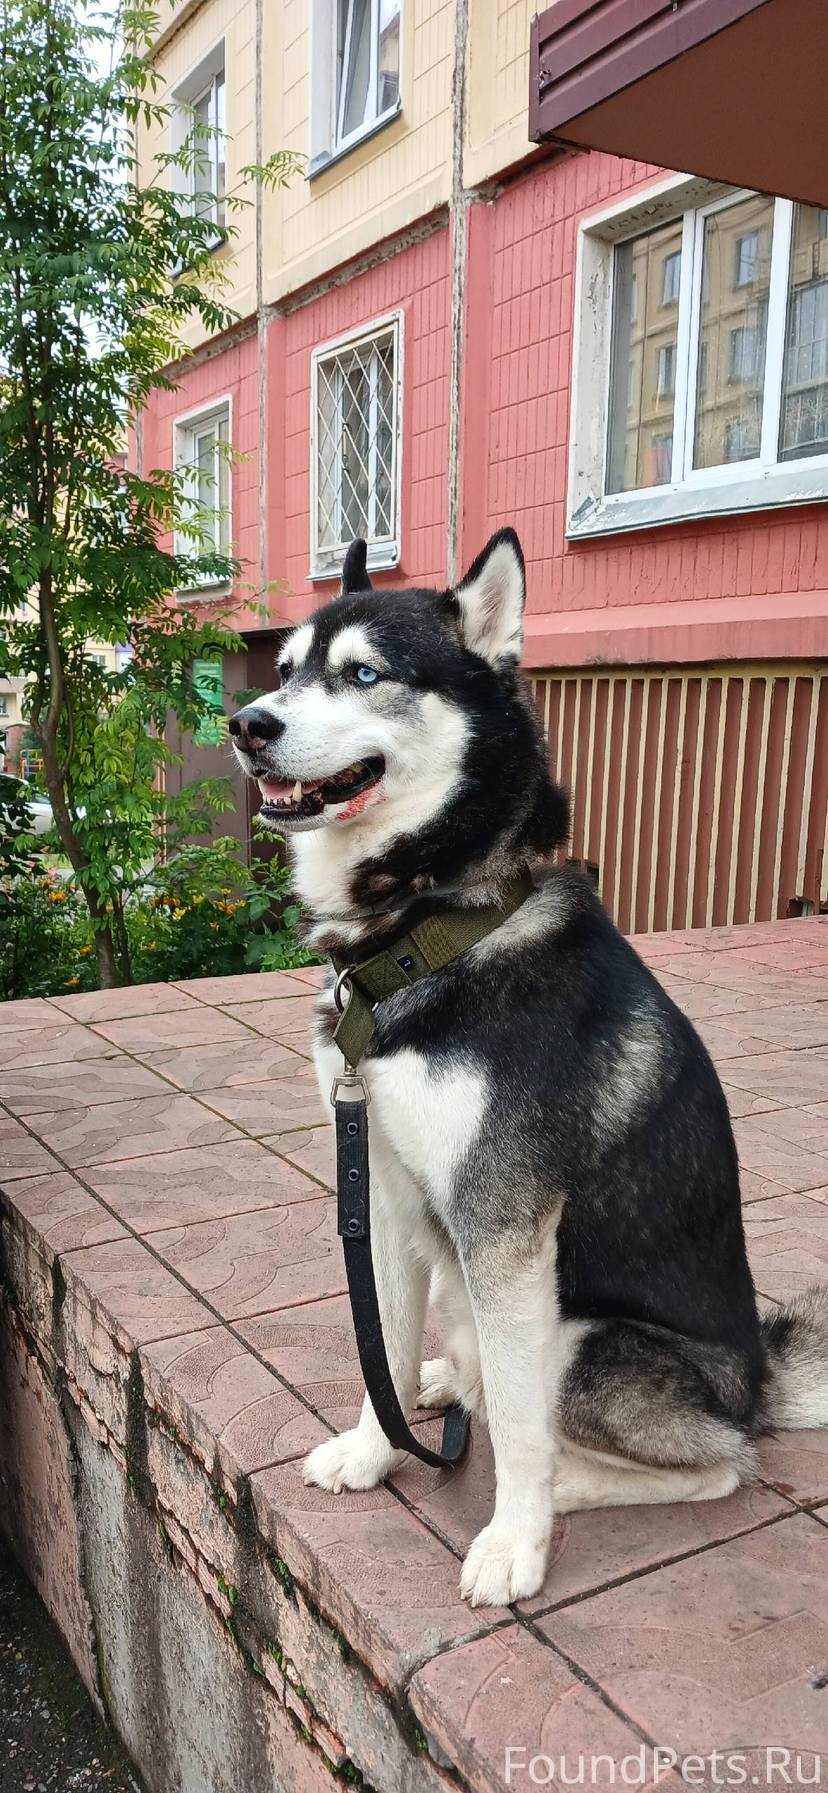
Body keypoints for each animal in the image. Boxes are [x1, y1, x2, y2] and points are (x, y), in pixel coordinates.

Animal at [230, 528, 828, 1608]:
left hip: (581, 1338)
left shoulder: (504, 1225)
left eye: (365, 674)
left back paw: (561, 1480)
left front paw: (515, 1537)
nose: (248, 723)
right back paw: (442, 1381)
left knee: (721, 1460)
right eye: (287, 669)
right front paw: (374, 1448)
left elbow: (514, 1422)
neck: (431, 930)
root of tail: (760, 1375)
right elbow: (378, 1337)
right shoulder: (381, 1186)